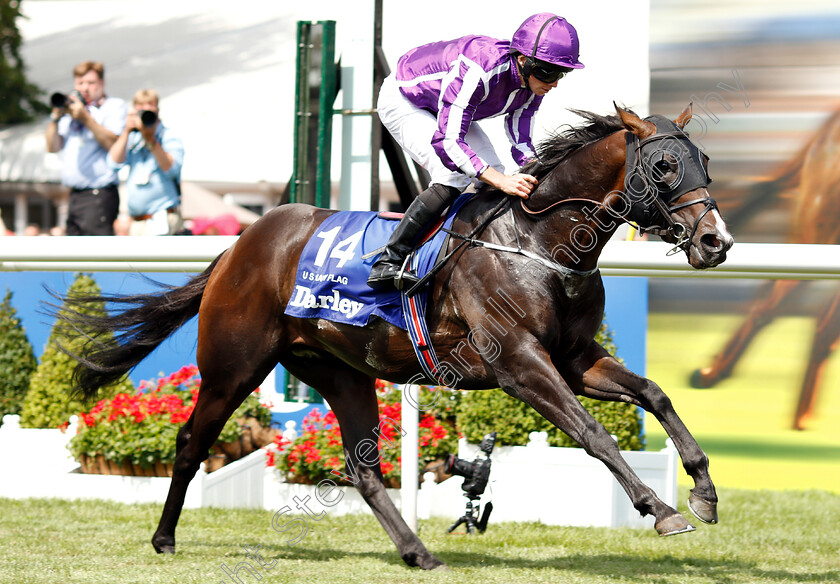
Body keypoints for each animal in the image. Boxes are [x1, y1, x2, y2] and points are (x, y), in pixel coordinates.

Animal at [65, 102, 732, 568]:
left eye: (704, 162)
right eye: (664, 167)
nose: (716, 241)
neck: (537, 241)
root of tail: (240, 245)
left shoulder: (574, 358)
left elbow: (653, 394)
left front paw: (703, 490)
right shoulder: (520, 365)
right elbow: (593, 432)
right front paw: (661, 510)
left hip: (340, 372)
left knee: (364, 471)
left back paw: (418, 552)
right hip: (234, 367)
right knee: (190, 442)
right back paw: (164, 538)